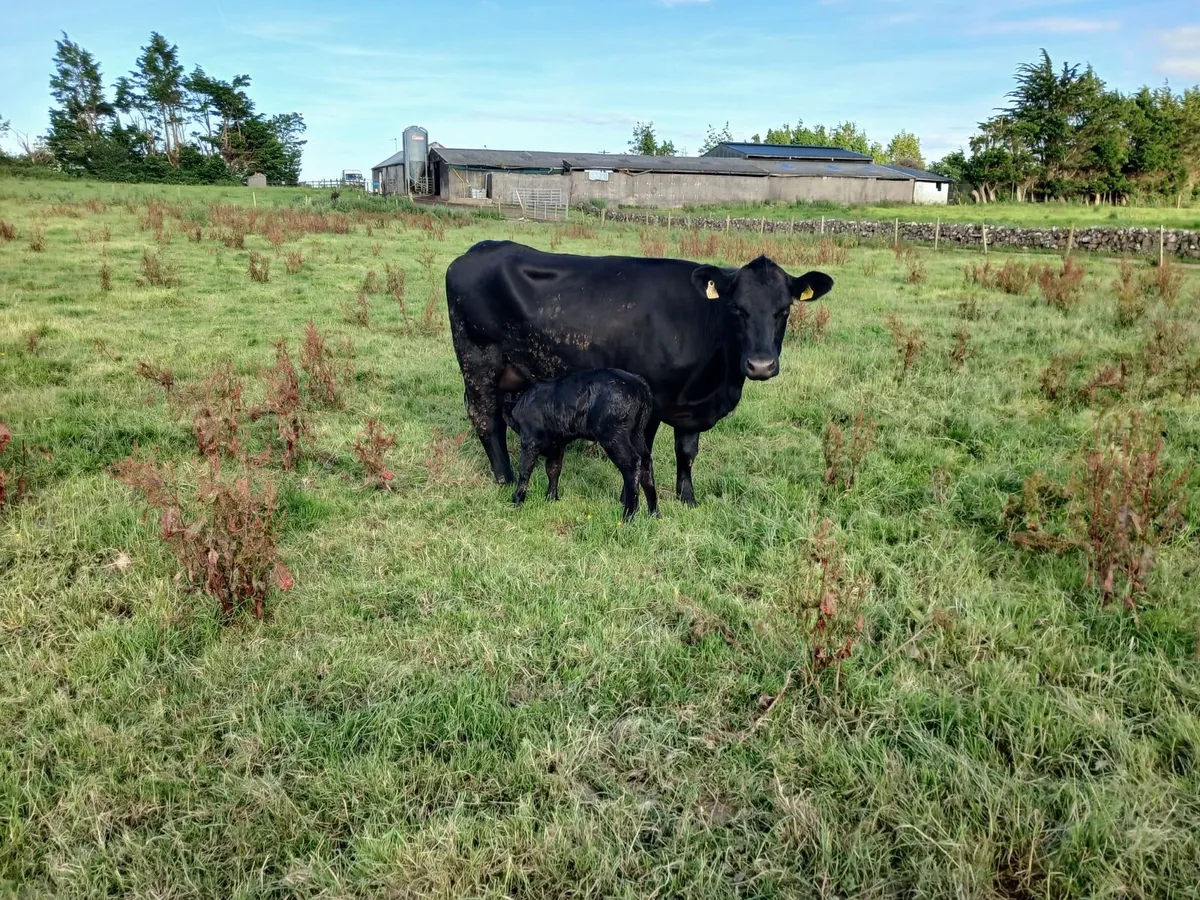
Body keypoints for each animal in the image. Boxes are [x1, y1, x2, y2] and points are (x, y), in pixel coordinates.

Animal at [504, 368, 658, 520]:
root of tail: (638, 382)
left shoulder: (530, 440)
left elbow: (525, 470)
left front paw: (516, 501)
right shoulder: (557, 445)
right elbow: (553, 469)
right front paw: (551, 499)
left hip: (613, 436)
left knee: (632, 463)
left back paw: (628, 516)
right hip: (637, 434)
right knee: (646, 463)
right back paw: (654, 514)